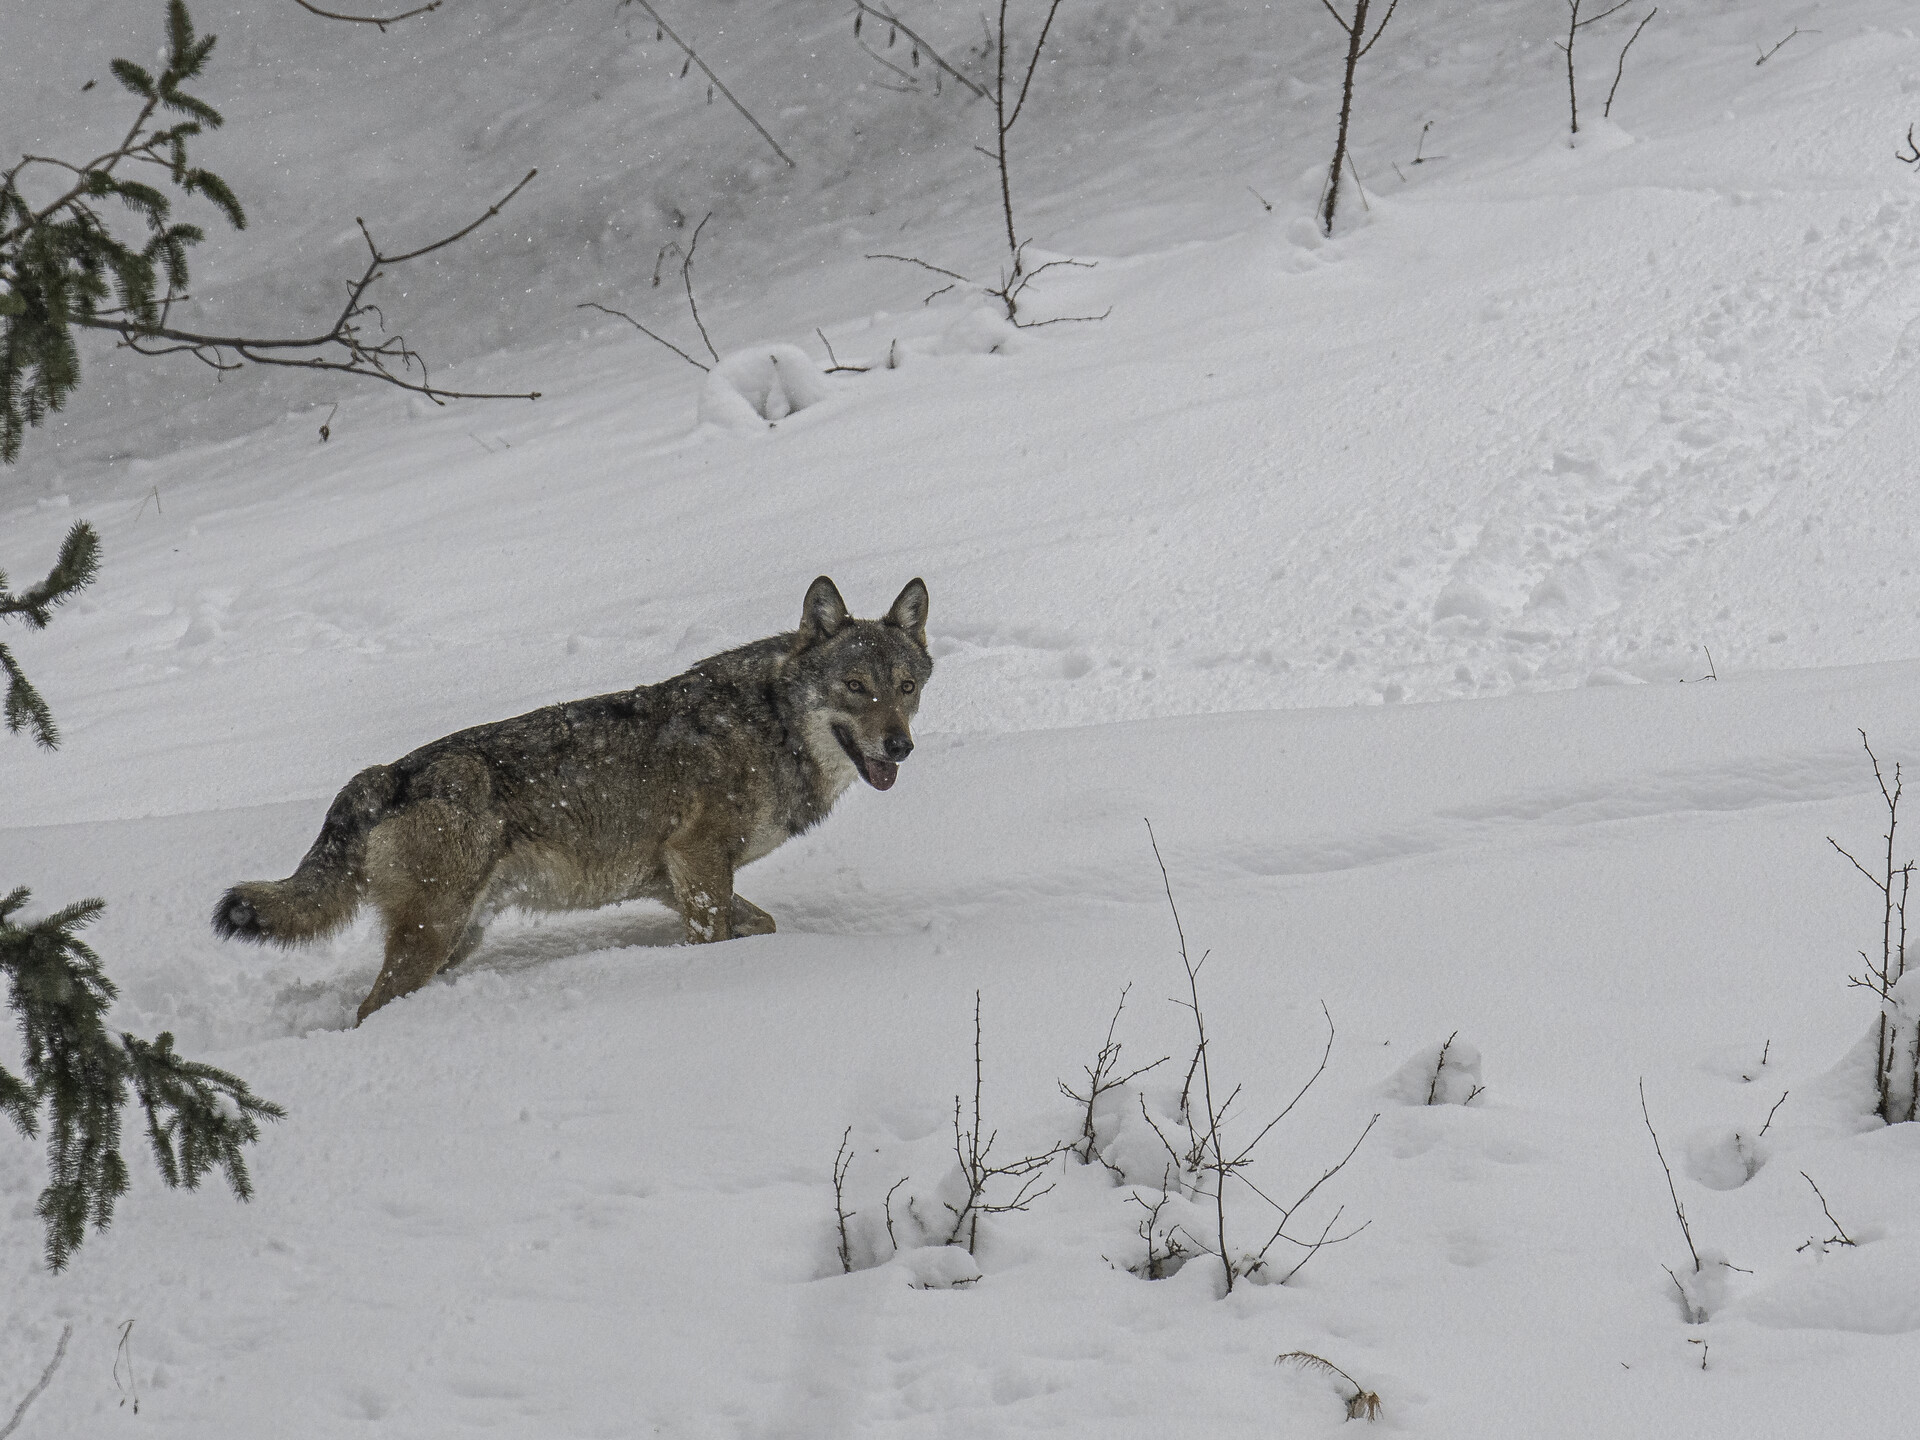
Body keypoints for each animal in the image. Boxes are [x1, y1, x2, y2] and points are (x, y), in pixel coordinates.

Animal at [213, 576, 932, 1023]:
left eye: (906, 686)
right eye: (855, 686)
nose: (899, 747)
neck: (768, 726)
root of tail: (386, 774)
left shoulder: (675, 880)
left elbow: (764, 925)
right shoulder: (699, 866)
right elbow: (718, 939)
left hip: (457, 938)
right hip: (434, 936)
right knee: (368, 1010)